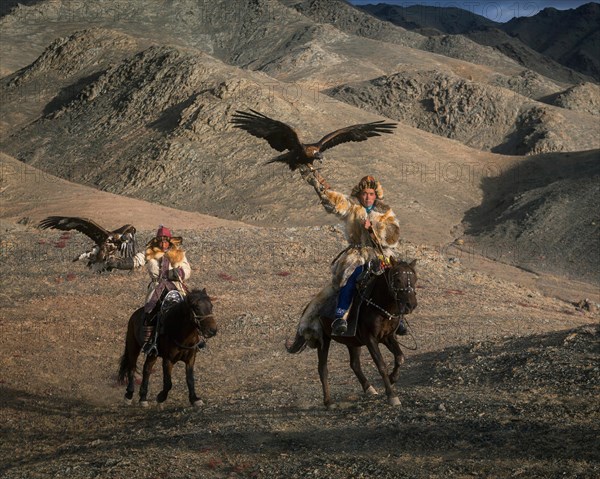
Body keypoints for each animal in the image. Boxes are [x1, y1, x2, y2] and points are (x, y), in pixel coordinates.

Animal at [286, 258, 418, 408]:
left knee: (354, 364)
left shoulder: (388, 336)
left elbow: (400, 357)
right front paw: (392, 395)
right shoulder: (370, 339)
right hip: (323, 340)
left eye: (415, 279)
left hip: (352, 342)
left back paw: (369, 388)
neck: (378, 304)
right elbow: (381, 365)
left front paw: (392, 378)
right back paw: (329, 402)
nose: (411, 305)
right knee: (323, 369)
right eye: (398, 279)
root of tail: (309, 306)